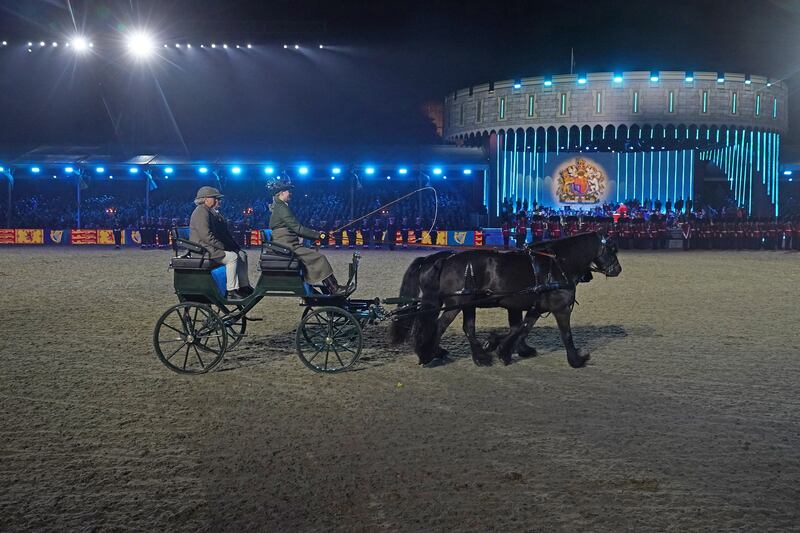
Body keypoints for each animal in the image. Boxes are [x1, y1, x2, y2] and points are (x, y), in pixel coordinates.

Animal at [390, 232, 620, 366]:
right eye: (611, 249)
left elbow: (522, 328)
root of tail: (446, 258)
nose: (618, 269)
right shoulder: (561, 308)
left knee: (467, 328)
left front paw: (506, 347)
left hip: (467, 304)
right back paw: (430, 354)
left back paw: (478, 356)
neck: (557, 264)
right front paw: (576, 359)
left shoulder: (534, 306)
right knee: (439, 326)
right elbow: (566, 335)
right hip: (456, 304)